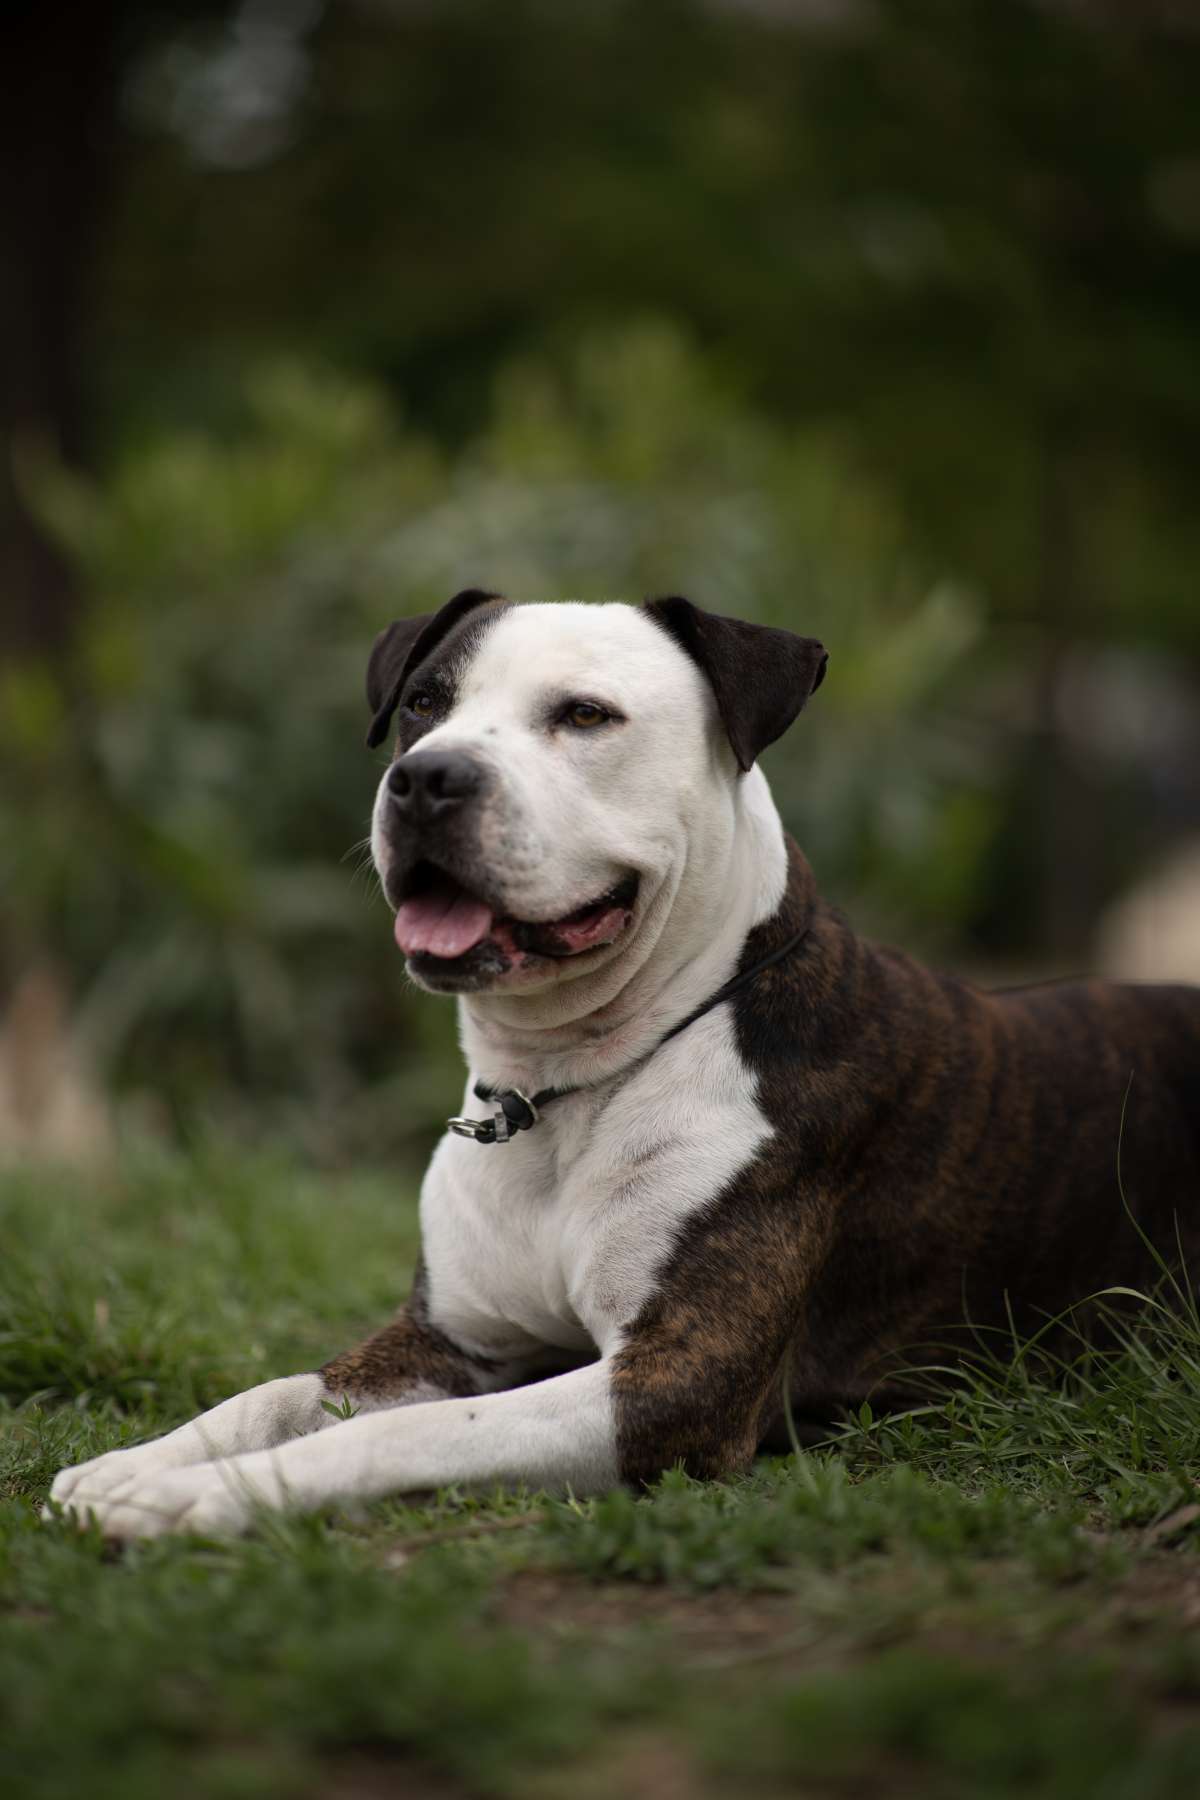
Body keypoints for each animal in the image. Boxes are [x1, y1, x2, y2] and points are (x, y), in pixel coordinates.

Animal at [47, 586, 1200, 1533]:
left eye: (586, 715)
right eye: (423, 701)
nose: (425, 777)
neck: (558, 1083)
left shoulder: (671, 1385)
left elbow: (400, 1432)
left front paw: (193, 1499)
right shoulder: (449, 1339)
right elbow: (275, 1393)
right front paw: (137, 1463)